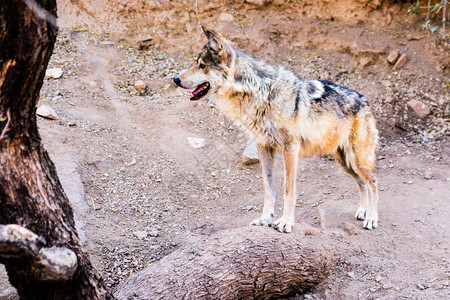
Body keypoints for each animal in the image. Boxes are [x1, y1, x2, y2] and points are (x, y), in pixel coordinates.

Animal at [172, 26, 380, 232]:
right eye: (196, 63)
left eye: (202, 66)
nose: (175, 79)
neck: (261, 94)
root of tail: (365, 100)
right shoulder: (263, 147)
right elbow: (268, 190)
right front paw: (266, 219)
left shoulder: (290, 149)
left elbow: (288, 190)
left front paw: (286, 222)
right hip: (344, 162)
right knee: (362, 183)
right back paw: (363, 211)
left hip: (357, 160)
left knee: (373, 182)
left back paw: (371, 218)